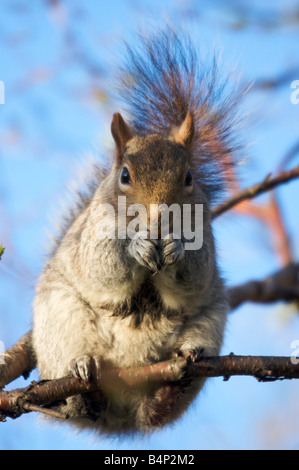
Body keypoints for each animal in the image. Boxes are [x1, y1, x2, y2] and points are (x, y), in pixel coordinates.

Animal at [31, 27, 240, 436]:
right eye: (125, 176)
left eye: (189, 177)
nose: (159, 220)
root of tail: (121, 417)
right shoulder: (92, 238)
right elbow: (104, 266)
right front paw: (136, 248)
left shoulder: (205, 238)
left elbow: (196, 272)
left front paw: (176, 249)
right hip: (58, 322)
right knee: (76, 398)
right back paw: (83, 375)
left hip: (212, 319)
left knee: (157, 408)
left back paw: (176, 380)